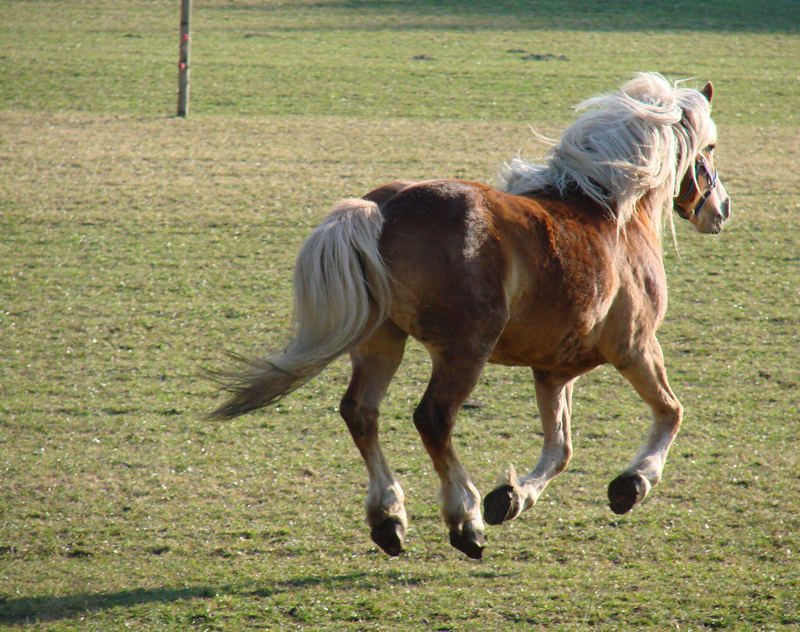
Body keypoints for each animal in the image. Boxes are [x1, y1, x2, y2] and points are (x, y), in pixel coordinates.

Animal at [208, 73, 732, 556]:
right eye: (709, 148)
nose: (721, 210)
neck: (609, 210)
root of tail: (383, 207)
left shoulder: (553, 371)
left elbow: (560, 448)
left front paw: (514, 497)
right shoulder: (635, 346)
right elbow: (670, 412)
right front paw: (632, 483)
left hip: (382, 341)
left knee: (360, 412)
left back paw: (389, 519)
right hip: (464, 351)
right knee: (433, 418)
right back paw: (465, 521)